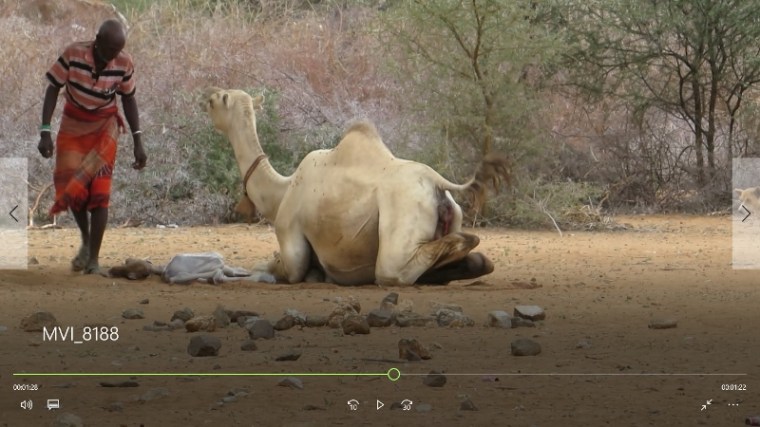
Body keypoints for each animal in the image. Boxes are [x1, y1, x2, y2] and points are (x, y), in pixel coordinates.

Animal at [203, 87, 510, 286]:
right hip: (452, 213)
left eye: (213, 101)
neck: (282, 191)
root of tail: (438, 182)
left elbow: (281, 269)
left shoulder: (288, 232)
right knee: (477, 259)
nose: (205, 97)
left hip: (403, 217)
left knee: (394, 271)